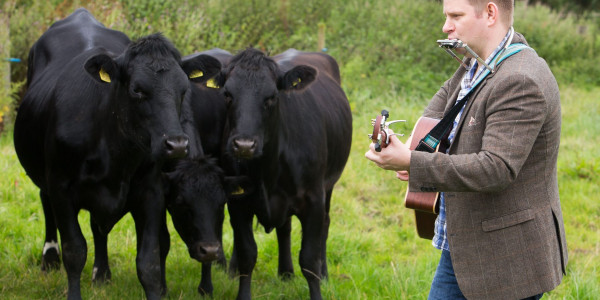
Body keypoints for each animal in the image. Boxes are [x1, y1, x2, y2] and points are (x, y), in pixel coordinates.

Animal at [14, 8, 220, 298]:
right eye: (137, 89)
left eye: (183, 89)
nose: (177, 144)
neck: (113, 152)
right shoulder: (61, 187)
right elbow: (75, 252)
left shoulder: (151, 192)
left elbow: (149, 262)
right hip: (46, 179)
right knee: (47, 206)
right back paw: (49, 259)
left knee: (98, 228)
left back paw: (102, 274)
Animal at [214, 48, 352, 298]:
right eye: (227, 94)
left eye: (271, 97)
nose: (244, 145)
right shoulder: (238, 202)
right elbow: (248, 254)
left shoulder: (314, 199)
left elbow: (309, 259)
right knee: (284, 228)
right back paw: (285, 272)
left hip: (329, 185)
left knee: (325, 226)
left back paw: (324, 274)